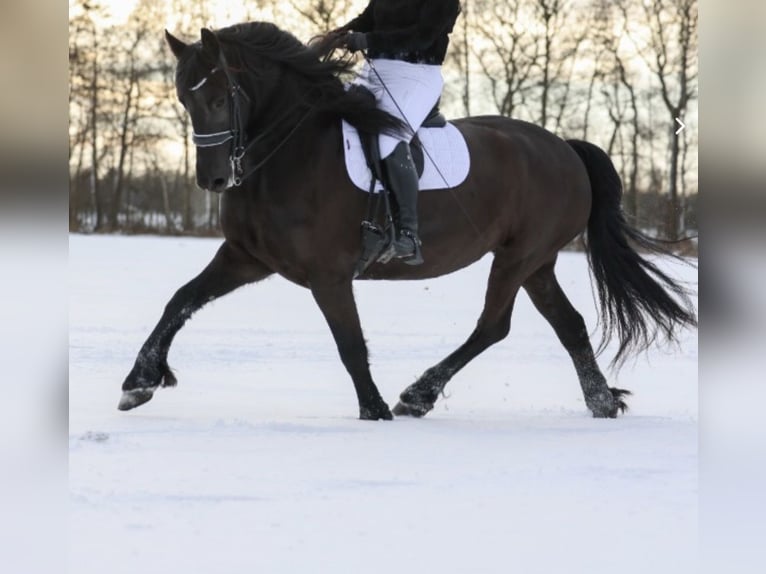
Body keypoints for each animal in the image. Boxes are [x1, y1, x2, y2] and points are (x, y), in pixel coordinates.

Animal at [119, 22, 696, 420]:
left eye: (220, 97)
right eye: (183, 98)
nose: (213, 180)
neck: (289, 152)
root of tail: (565, 148)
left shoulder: (328, 275)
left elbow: (350, 344)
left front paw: (372, 410)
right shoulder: (245, 258)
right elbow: (180, 301)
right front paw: (139, 381)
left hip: (518, 257)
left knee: (493, 326)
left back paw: (417, 396)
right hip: (539, 263)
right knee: (568, 325)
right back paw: (600, 402)